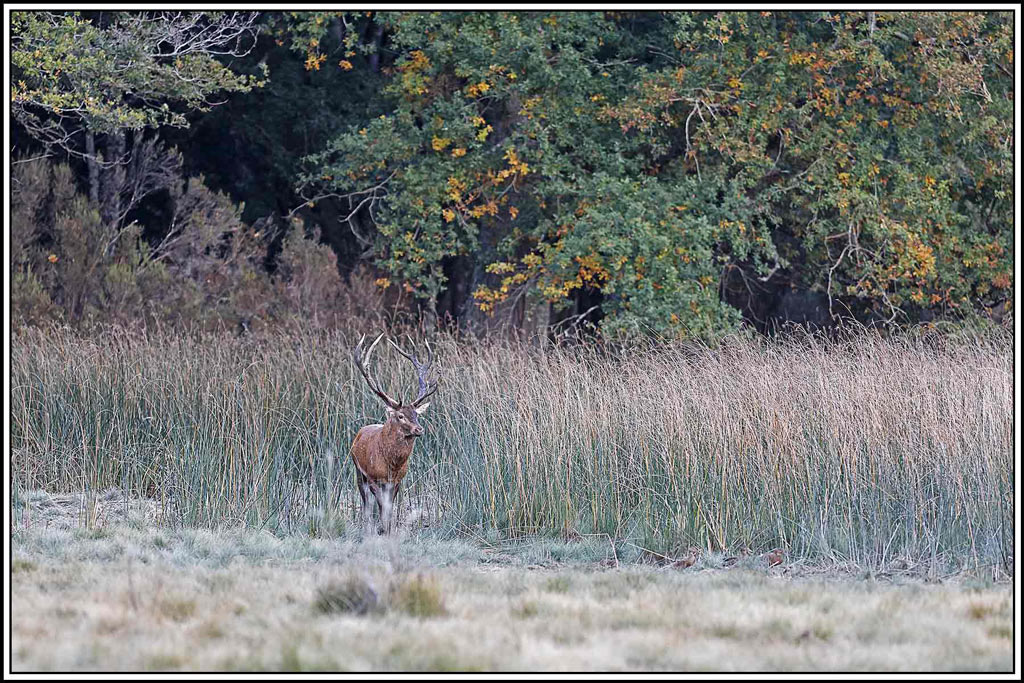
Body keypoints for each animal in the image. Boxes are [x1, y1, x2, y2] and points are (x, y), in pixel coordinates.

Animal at [350, 333, 438, 535]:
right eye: (400, 415)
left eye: (416, 414)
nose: (419, 429)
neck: (392, 464)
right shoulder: (373, 477)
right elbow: (382, 506)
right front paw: (382, 529)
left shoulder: (397, 481)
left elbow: (390, 508)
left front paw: (388, 530)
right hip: (358, 471)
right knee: (366, 503)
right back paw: (368, 526)